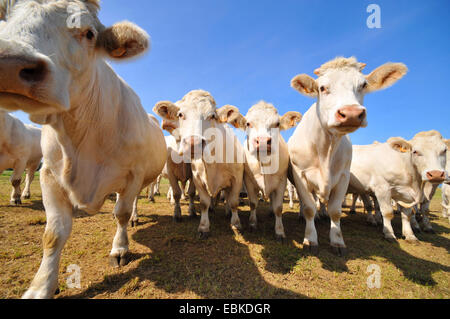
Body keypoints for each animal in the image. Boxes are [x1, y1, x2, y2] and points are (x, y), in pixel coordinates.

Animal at [0, 1, 167, 298]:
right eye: (4, 18)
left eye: (89, 33)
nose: (10, 64)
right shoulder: (49, 175)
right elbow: (53, 234)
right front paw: (41, 286)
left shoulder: (133, 175)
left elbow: (121, 213)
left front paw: (119, 248)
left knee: (133, 203)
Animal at [155, 89, 246, 238]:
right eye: (180, 114)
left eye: (212, 116)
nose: (193, 143)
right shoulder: (195, 178)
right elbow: (201, 201)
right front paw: (202, 226)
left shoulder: (237, 179)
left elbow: (233, 202)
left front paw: (236, 224)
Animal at [229, 102, 302, 240]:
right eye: (248, 123)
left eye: (277, 124)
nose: (262, 141)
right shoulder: (249, 181)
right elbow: (253, 203)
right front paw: (252, 224)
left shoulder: (281, 182)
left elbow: (278, 208)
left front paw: (279, 231)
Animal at [288, 55, 408, 255]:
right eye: (322, 88)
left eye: (363, 85)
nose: (351, 113)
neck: (326, 150)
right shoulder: (300, 175)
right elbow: (309, 208)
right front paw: (310, 239)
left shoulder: (343, 177)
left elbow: (335, 211)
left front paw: (337, 241)